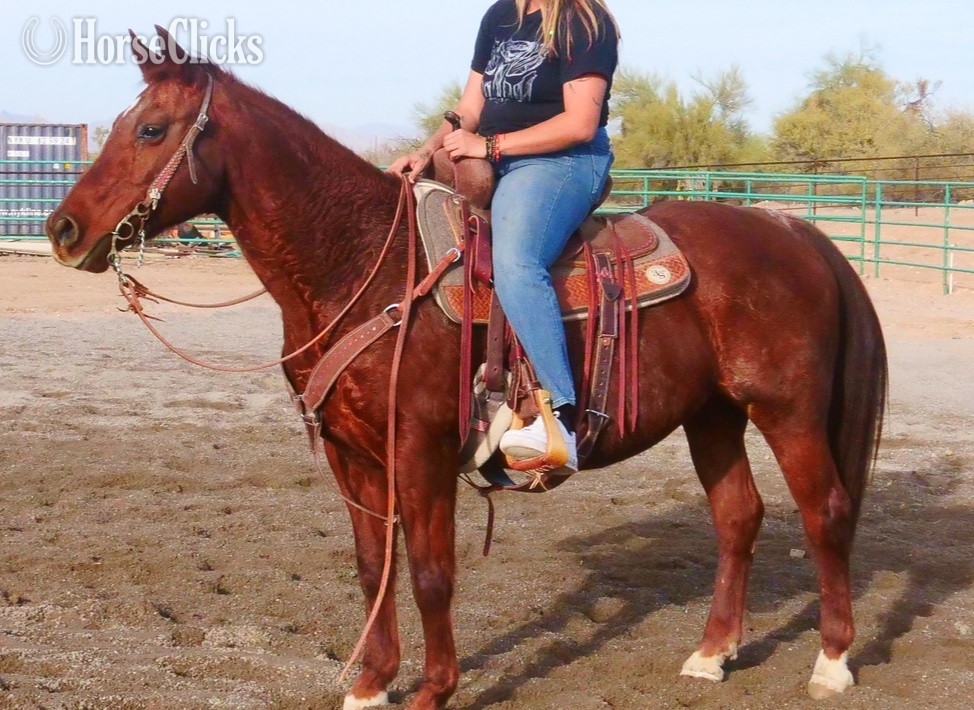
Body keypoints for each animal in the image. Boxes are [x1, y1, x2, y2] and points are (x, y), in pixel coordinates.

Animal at [46, 29, 886, 710]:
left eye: (152, 129)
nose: (63, 229)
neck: (362, 265)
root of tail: (794, 232)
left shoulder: (419, 450)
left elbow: (429, 572)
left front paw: (434, 689)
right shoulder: (353, 453)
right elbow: (370, 567)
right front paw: (370, 684)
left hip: (788, 411)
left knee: (825, 512)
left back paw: (833, 662)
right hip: (712, 413)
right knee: (738, 515)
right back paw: (712, 654)